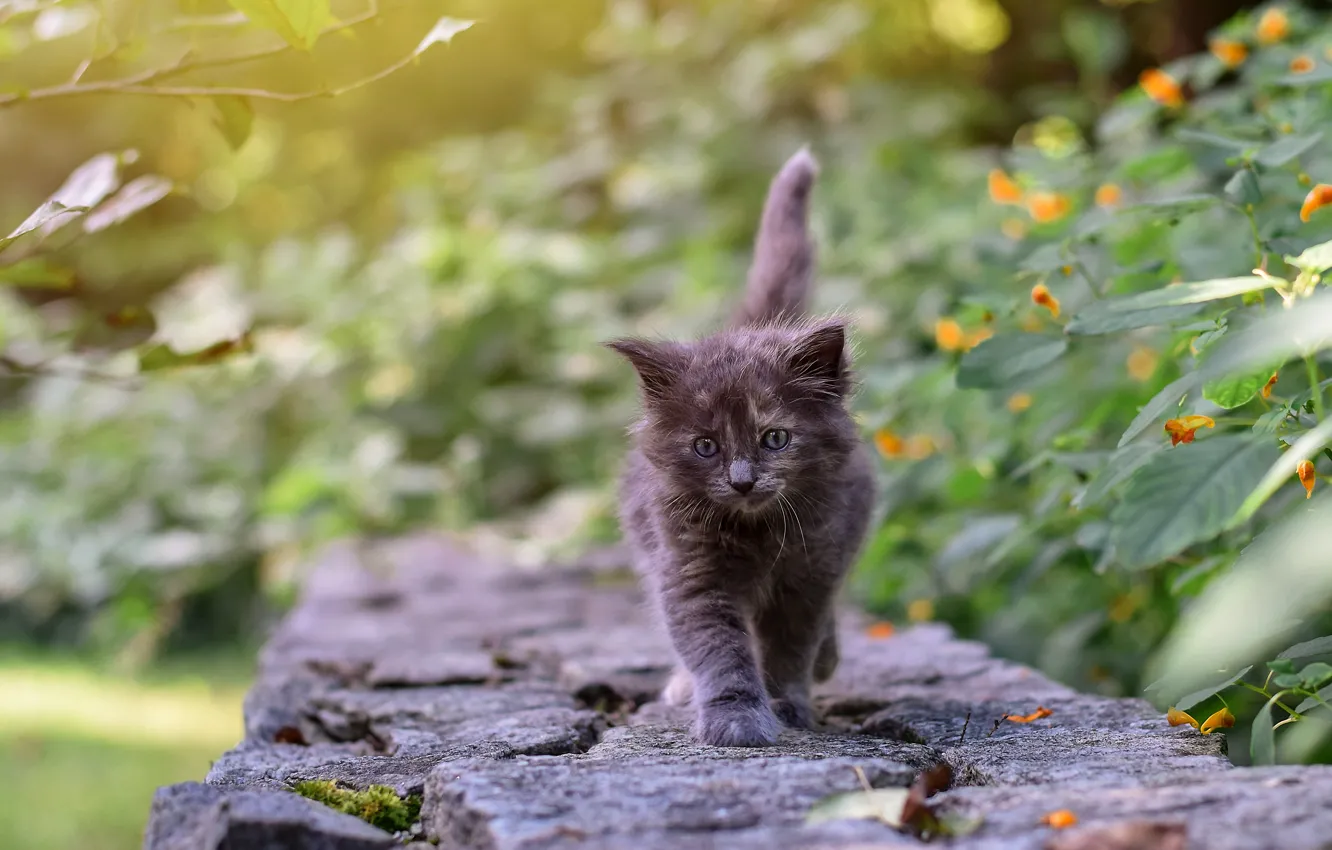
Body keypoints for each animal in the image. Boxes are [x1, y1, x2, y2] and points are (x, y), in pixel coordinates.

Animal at [607, 149, 873, 751]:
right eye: (705, 446)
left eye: (775, 438)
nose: (742, 479)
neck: (757, 534)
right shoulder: (690, 571)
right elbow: (718, 651)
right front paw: (737, 719)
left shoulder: (812, 567)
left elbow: (791, 647)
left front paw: (787, 703)